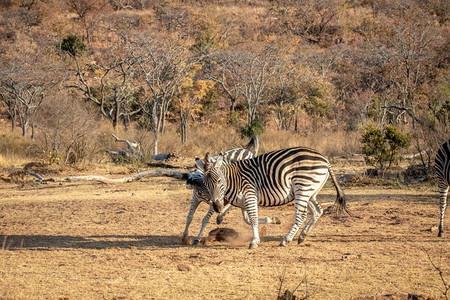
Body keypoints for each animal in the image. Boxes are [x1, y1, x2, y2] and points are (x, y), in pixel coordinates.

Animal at [199, 147, 350, 248]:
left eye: (220, 181)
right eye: (205, 183)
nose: (217, 206)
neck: (233, 179)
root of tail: (325, 159)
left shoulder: (250, 195)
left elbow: (252, 219)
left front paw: (255, 242)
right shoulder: (242, 202)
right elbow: (247, 219)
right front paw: (273, 220)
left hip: (302, 187)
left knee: (301, 215)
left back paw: (286, 240)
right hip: (310, 192)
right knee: (318, 211)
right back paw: (302, 236)